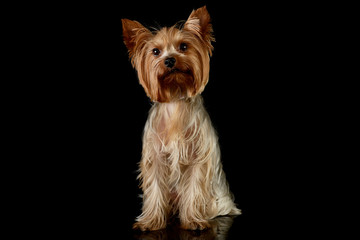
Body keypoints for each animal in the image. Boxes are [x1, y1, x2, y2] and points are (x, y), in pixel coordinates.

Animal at [121, 6, 242, 231]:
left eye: (183, 46)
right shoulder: (156, 158)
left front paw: (193, 221)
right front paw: (150, 221)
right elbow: (155, 188)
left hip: (218, 201)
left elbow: (194, 187)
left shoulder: (198, 158)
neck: (175, 96)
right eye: (156, 51)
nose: (169, 60)